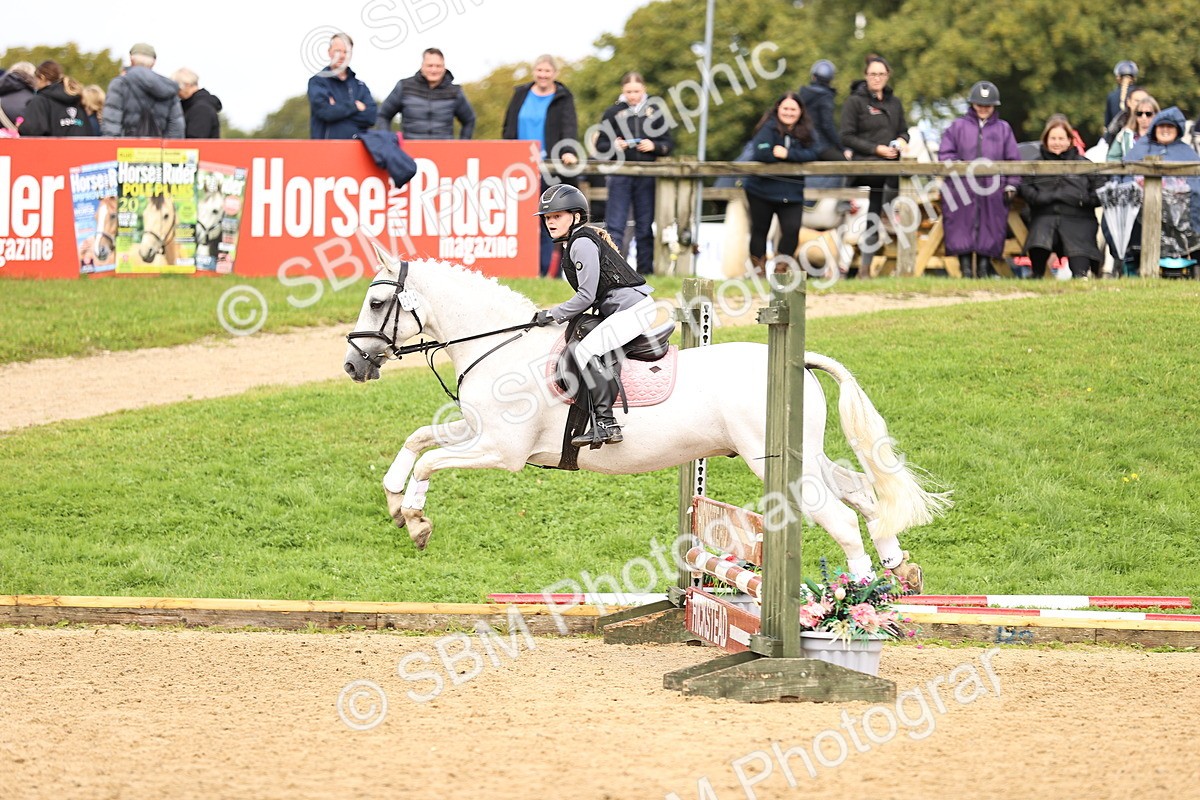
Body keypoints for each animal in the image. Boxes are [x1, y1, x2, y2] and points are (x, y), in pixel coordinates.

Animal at [342, 247, 950, 589]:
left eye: (376, 303)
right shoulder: (480, 432)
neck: (502, 346)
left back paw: (860, 600)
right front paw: (394, 499)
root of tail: (797, 360)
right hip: (808, 454)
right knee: (863, 494)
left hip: (775, 461)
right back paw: (899, 568)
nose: (351, 365)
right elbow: (418, 440)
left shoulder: (502, 451)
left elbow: (431, 462)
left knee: (843, 517)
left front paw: (416, 519)